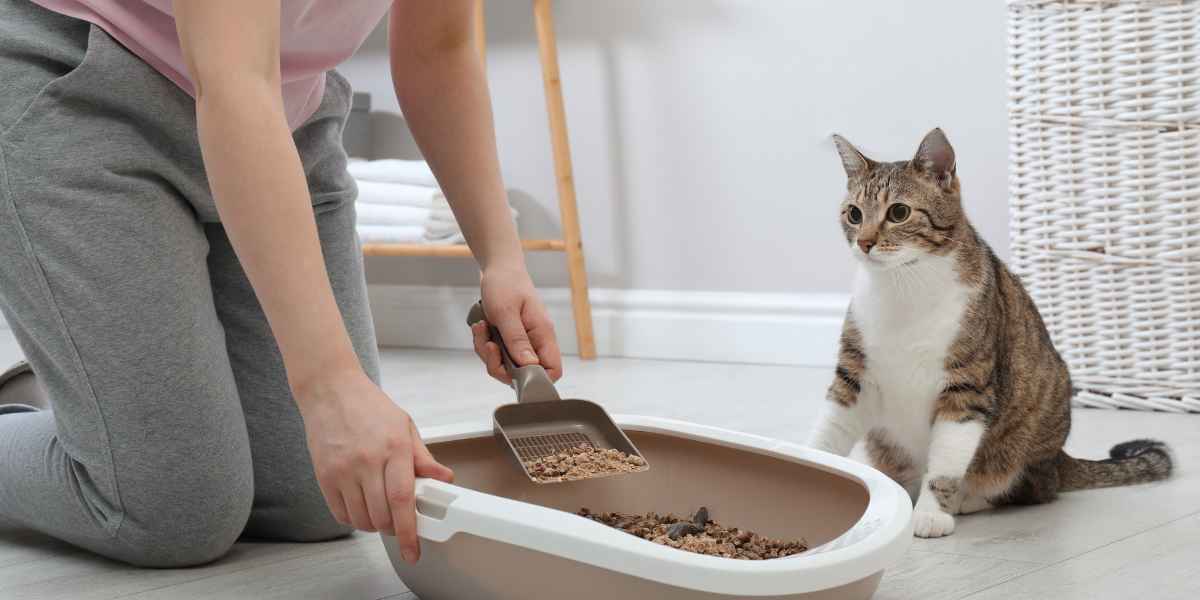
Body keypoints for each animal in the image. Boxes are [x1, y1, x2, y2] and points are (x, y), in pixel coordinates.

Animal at [806, 127, 1171, 540]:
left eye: (898, 212)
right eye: (854, 214)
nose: (865, 242)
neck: (903, 288)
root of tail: (1060, 459)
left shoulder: (967, 385)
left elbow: (947, 460)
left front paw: (932, 512)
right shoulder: (854, 374)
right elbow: (829, 430)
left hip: (1027, 438)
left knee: (1030, 488)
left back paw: (968, 498)